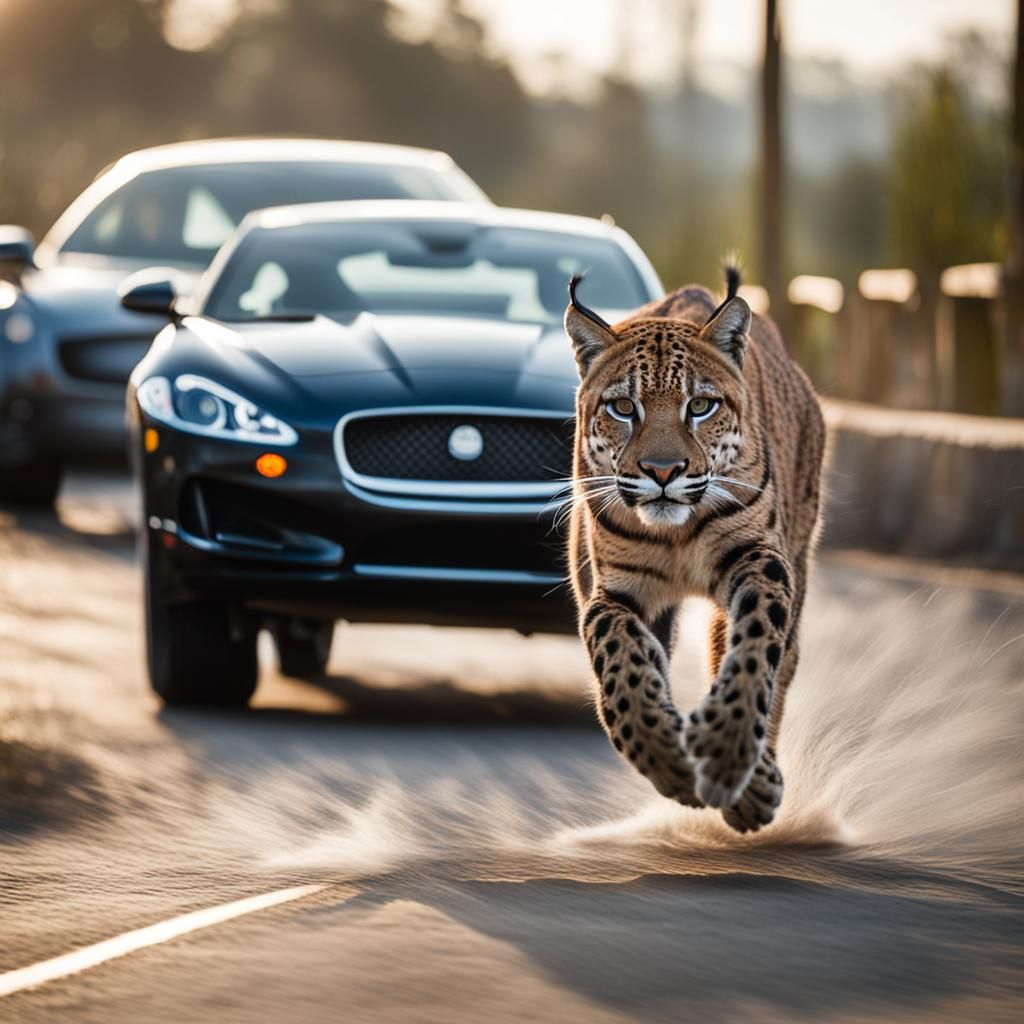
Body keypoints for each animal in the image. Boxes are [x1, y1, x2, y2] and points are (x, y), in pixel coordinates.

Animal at [563, 267, 824, 832]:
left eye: (700, 406)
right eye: (623, 408)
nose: (663, 472)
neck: (677, 535)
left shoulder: (759, 557)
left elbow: (756, 647)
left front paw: (726, 749)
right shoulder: (614, 589)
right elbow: (620, 665)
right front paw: (666, 755)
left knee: (773, 658)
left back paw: (755, 783)